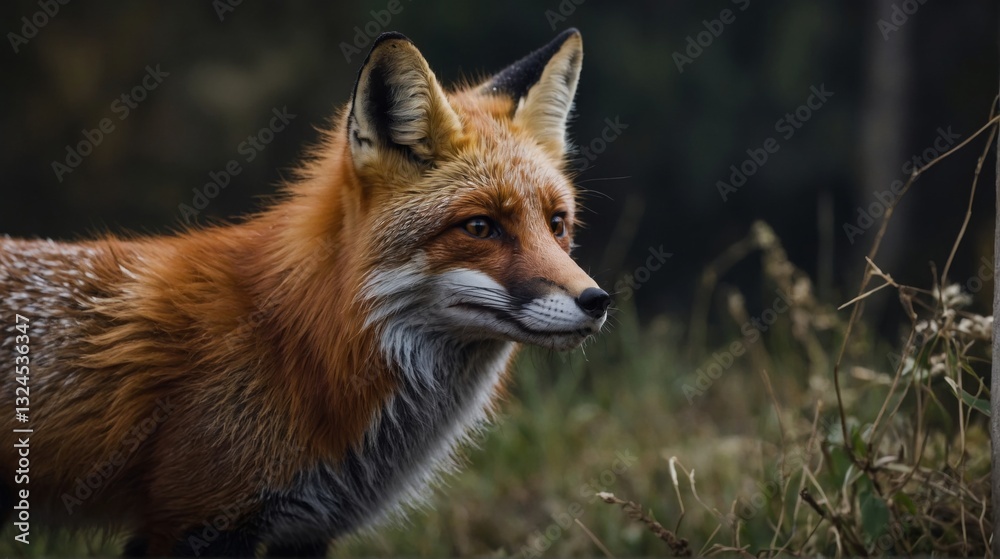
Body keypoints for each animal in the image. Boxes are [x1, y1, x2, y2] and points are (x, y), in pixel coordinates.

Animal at [0, 28, 609, 557]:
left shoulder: (306, 529)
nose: (597, 301)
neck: (304, 343)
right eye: (480, 227)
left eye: (557, 224)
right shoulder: (197, 520)